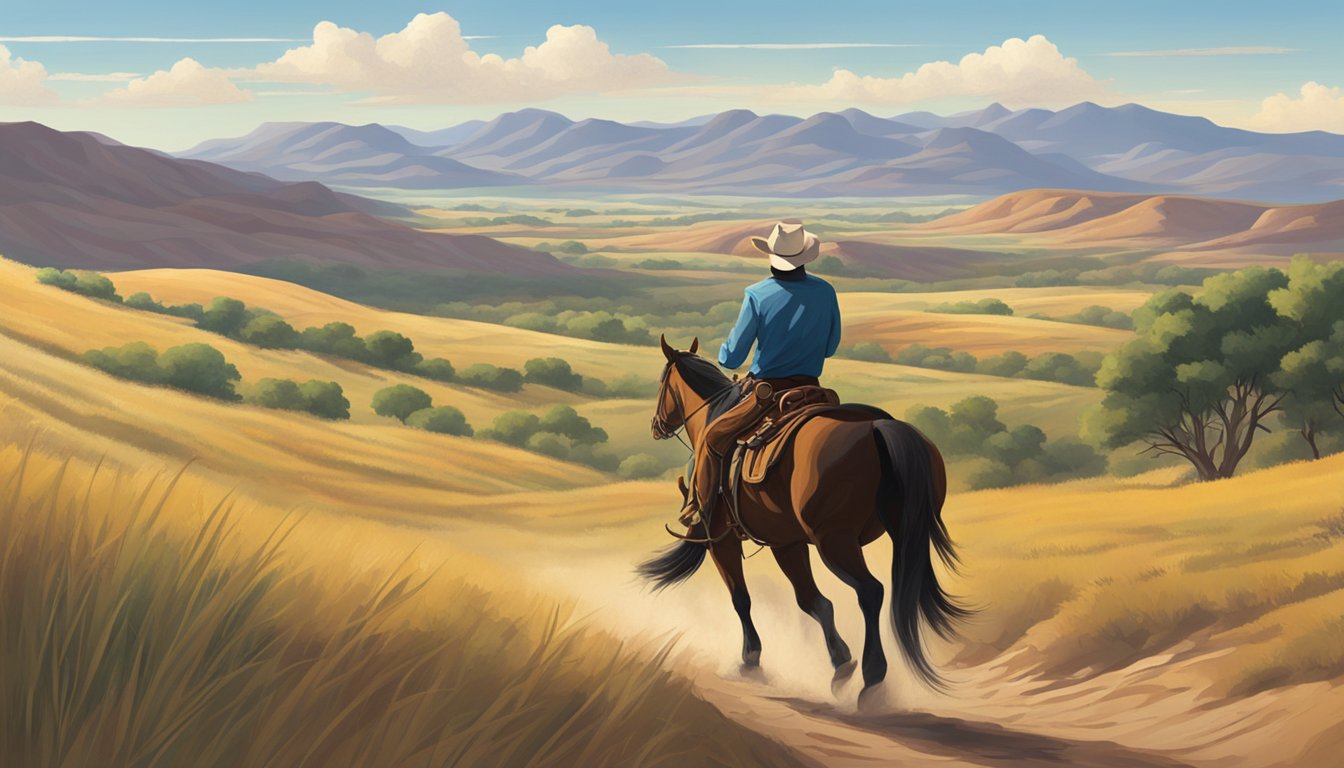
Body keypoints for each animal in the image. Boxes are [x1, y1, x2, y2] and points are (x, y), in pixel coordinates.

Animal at [639, 336, 967, 699]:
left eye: (661, 382)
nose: (655, 426)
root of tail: (877, 426)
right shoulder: (787, 542)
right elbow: (812, 601)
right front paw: (840, 662)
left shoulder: (721, 540)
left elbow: (741, 598)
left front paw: (751, 659)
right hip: (901, 533)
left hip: (833, 540)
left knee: (871, 591)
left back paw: (872, 677)